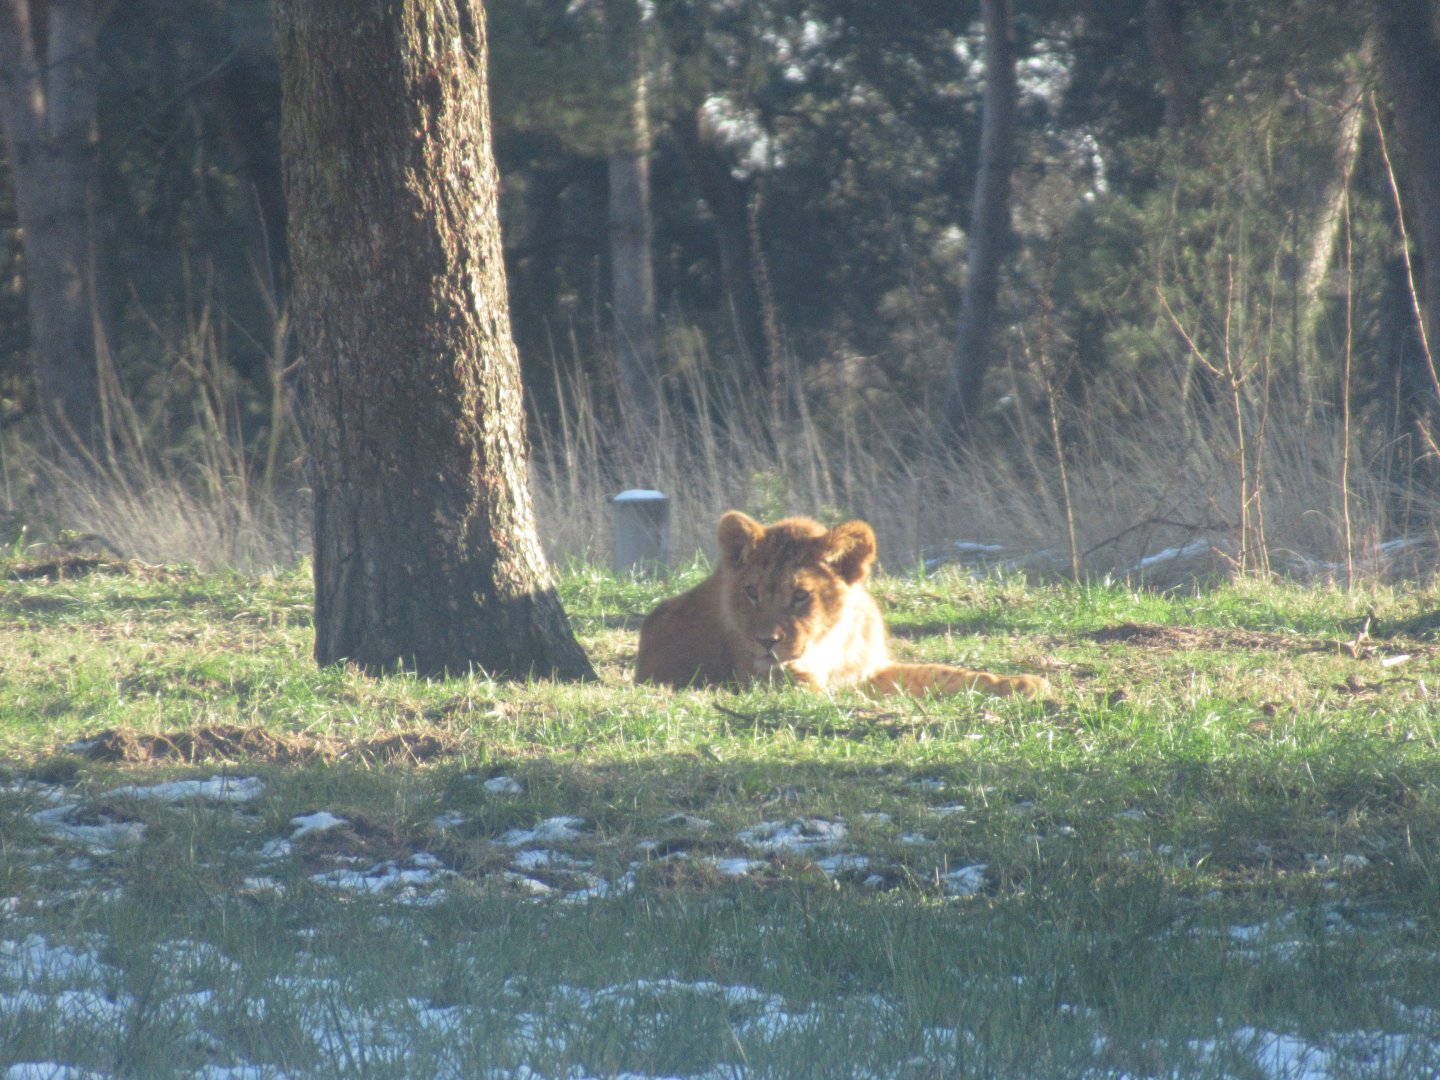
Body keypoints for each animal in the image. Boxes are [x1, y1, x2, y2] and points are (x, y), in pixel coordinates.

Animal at [634, 511, 1049, 699]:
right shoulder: (770, 680)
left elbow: (944, 674)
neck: (829, 646)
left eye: (800, 595)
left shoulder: (871, 671)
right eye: (751, 592)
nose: (766, 642)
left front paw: (1023, 683)